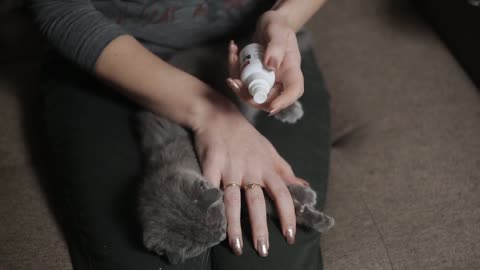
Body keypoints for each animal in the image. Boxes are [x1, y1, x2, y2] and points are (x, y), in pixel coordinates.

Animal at [137, 32, 332, 264]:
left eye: (219, 221)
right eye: (205, 242)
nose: (222, 235)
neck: (163, 160)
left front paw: (306, 199)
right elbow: (271, 203)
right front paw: (307, 210)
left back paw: (288, 107)